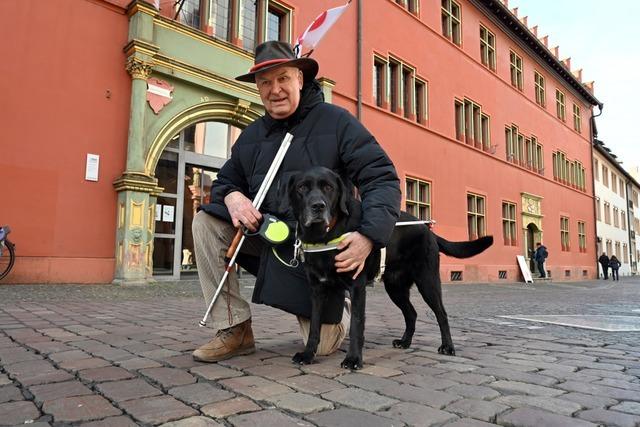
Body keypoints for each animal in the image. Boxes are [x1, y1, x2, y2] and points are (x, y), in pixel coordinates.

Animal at [288, 166, 492, 368]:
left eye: (329, 188)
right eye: (302, 188)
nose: (318, 206)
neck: (323, 236)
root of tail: (427, 229)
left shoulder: (357, 287)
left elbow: (356, 324)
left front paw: (353, 359)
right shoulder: (317, 289)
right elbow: (314, 325)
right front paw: (308, 354)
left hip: (428, 281)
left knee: (441, 314)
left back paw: (447, 346)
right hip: (395, 287)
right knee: (411, 314)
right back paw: (405, 342)